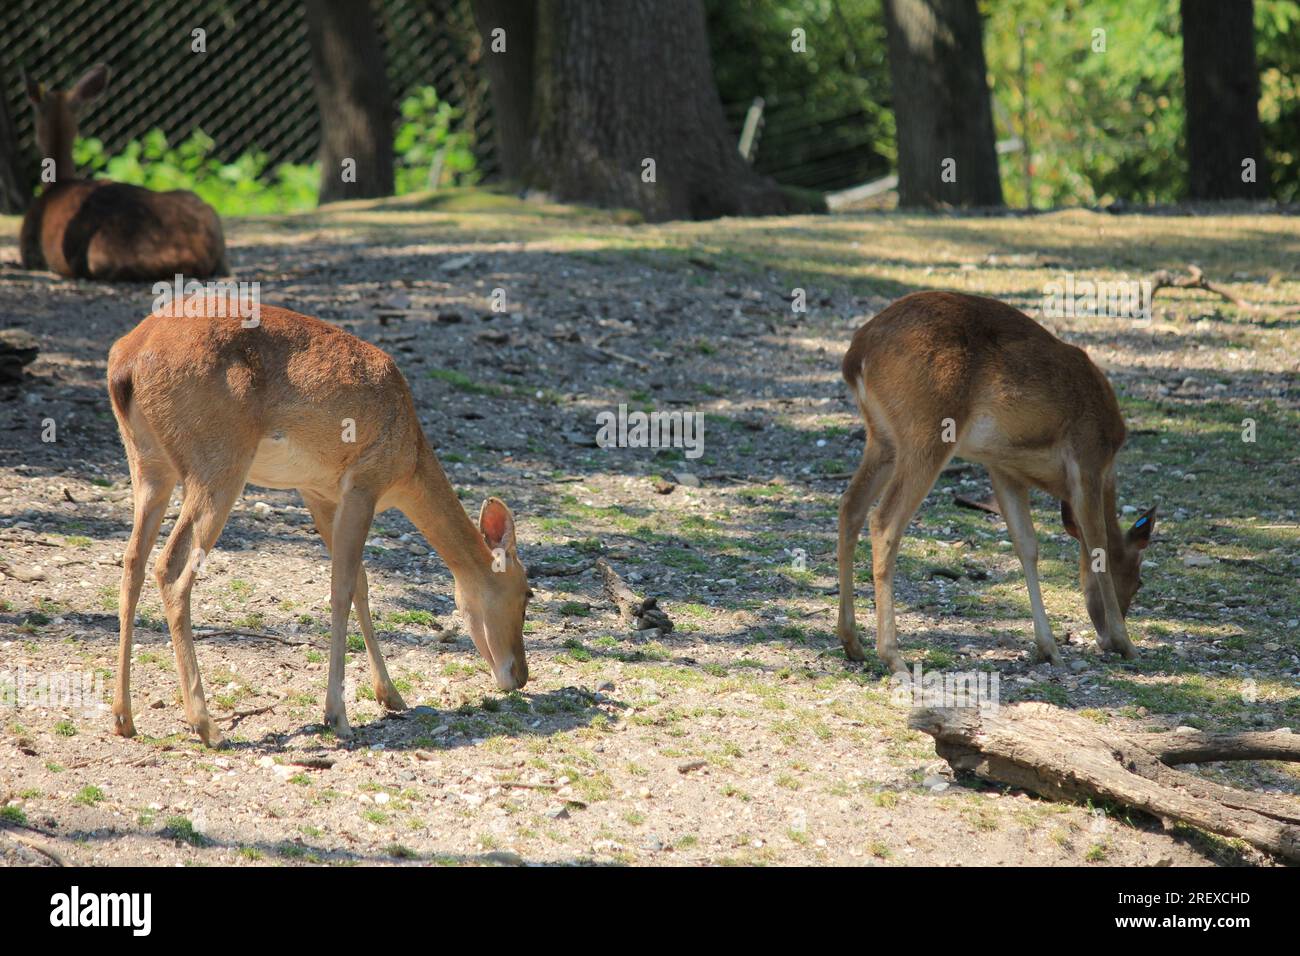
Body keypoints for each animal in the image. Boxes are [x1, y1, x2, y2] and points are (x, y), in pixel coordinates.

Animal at [106, 298, 530, 746]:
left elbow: (360, 583)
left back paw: (124, 718)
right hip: (216, 467)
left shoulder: (318, 493)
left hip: (149, 466)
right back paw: (207, 726)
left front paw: (391, 696)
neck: (409, 460)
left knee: (132, 561)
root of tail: (125, 363)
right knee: (171, 568)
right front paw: (338, 716)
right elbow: (341, 589)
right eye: (526, 594)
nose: (520, 675)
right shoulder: (363, 484)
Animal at [837, 291, 1156, 674]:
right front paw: (1125, 643)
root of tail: (856, 358)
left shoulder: (1003, 467)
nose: (1104, 637)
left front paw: (1049, 647)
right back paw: (893, 655)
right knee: (884, 521)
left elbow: (1027, 545)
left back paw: (852, 642)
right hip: (927, 431)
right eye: (1139, 579)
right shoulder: (1088, 460)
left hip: (883, 440)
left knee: (850, 506)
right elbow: (1099, 547)